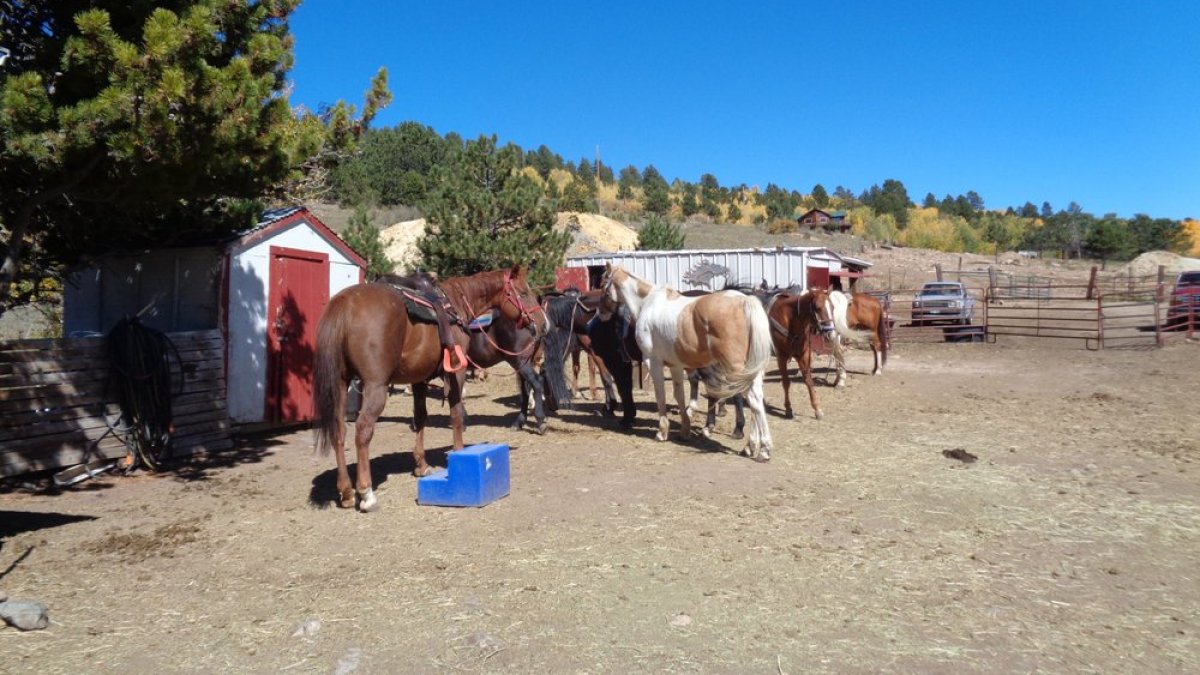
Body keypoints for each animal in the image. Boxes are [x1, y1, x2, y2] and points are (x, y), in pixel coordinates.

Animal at [312, 265, 546, 512]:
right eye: (523, 293)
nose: (543, 324)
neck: (457, 304)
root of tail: (344, 305)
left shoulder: (419, 378)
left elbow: (420, 417)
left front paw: (421, 465)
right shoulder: (456, 372)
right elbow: (456, 414)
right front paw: (459, 452)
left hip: (340, 384)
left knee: (339, 430)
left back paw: (346, 491)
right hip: (375, 386)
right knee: (363, 430)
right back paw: (366, 494)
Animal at [602, 265, 774, 460]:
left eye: (603, 282)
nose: (600, 314)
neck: (647, 303)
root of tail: (744, 301)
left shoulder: (653, 362)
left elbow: (661, 395)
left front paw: (662, 432)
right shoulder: (675, 365)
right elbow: (680, 395)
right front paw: (685, 431)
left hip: (736, 371)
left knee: (753, 401)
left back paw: (762, 449)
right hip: (751, 371)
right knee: (756, 400)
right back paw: (751, 447)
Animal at [767, 288, 838, 420]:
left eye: (832, 307)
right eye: (817, 307)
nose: (831, 334)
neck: (789, 319)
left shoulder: (803, 355)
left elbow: (809, 381)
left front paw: (817, 409)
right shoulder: (781, 357)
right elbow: (786, 382)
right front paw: (788, 409)